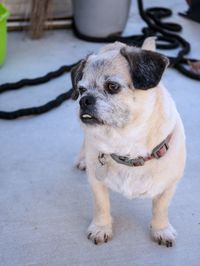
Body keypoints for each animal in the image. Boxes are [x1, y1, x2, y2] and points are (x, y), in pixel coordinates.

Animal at [70, 37, 186, 247]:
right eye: (81, 90)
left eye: (112, 87)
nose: (84, 100)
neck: (127, 145)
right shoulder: (96, 183)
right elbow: (101, 206)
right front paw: (101, 228)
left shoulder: (169, 186)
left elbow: (160, 209)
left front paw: (161, 229)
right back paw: (82, 159)